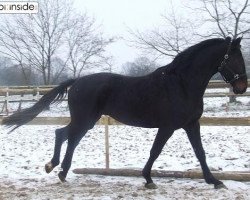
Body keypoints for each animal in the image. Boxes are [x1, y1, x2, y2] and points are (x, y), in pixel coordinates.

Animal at [1, 37, 248, 189]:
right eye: (234, 58)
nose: (242, 87)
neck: (182, 84)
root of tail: (78, 81)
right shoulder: (167, 126)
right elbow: (155, 151)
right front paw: (148, 179)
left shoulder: (191, 124)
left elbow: (200, 153)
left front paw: (215, 181)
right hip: (85, 119)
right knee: (64, 135)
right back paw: (55, 168)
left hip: (86, 121)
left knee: (66, 136)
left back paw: (60, 171)